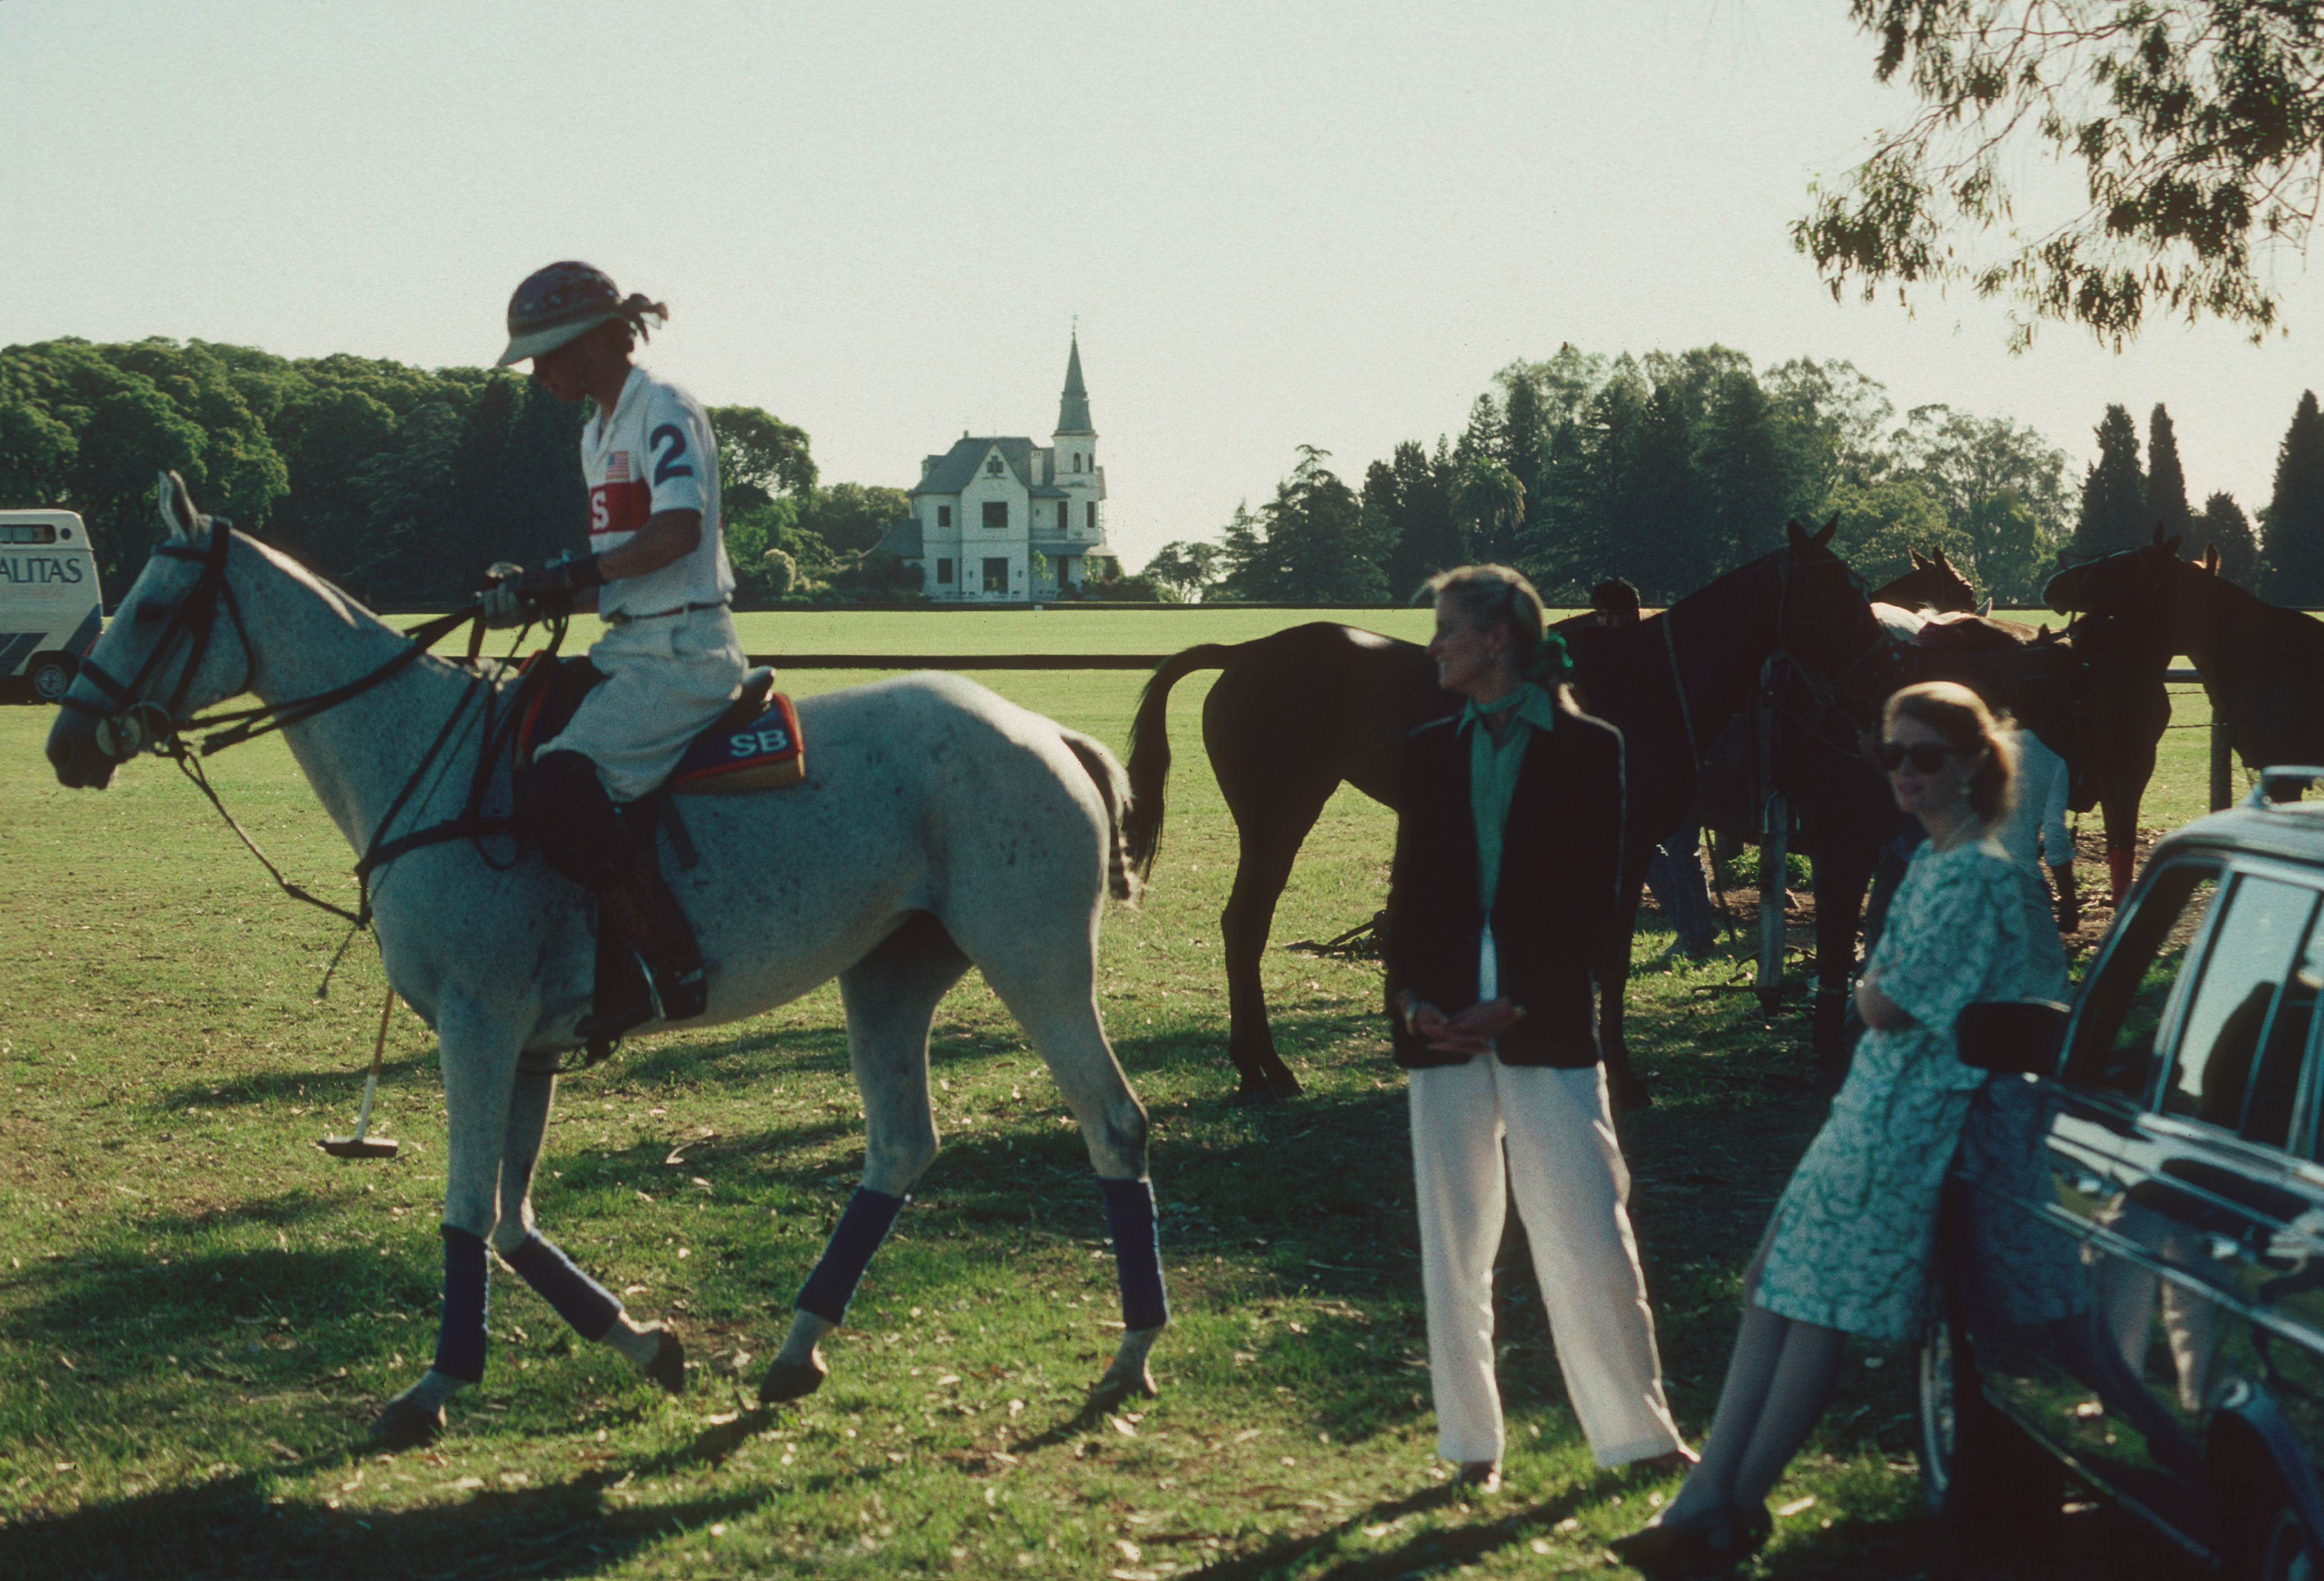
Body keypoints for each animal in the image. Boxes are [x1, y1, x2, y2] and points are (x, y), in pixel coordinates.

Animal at [56, 472, 1171, 1441]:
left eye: (152, 608)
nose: (64, 746)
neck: (421, 756)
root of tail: (1051, 732)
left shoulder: (477, 1020)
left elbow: (464, 1208)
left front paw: (434, 1387)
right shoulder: (530, 1042)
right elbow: (510, 1218)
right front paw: (645, 1346)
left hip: (1032, 954)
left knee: (1112, 1123)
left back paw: (1128, 1355)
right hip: (889, 970)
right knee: (900, 1143)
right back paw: (794, 1351)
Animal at [1124, 518, 1887, 1097]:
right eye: (1834, 591)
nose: (1879, 678)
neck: (1640, 681)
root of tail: (1243, 652)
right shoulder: (1623, 845)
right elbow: (1608, 959)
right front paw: (1619, 1075)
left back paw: (1257, 1067)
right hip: (1279, 819)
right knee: (1244, 926)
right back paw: (1267, 1067)